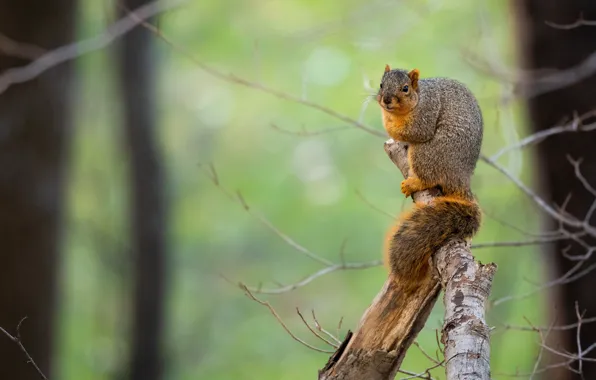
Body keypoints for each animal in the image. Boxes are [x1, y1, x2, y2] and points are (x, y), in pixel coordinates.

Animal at [378, 64, 484, 280]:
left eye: (405, 88)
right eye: (381, 84)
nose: (386, 100)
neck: (418, 98)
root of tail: (461, 179)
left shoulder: (426, 113)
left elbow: (415, 131)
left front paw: (388, 123)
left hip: (426, 153)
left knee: (430, 177)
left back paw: (415, 183)